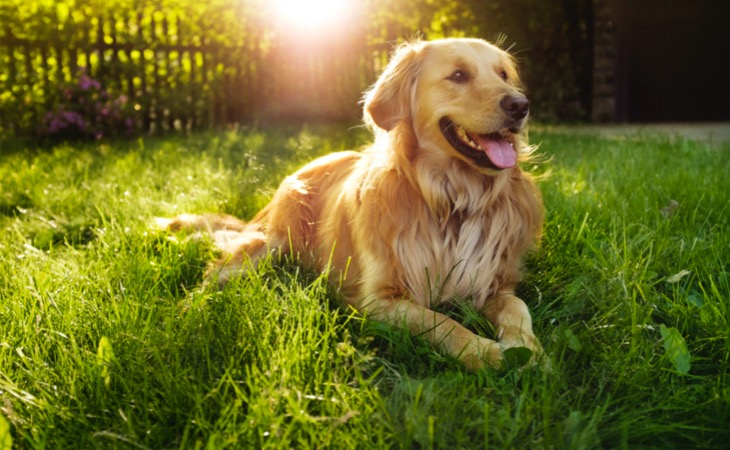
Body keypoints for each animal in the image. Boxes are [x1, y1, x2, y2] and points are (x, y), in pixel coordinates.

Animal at [158, 37, 540, 370]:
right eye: (458, 75)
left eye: (503, 75)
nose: (521, 106)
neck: (452, 200)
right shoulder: (379, 299)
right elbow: (443, 322)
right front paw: (486, 353)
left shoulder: (492, 282)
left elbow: (517, 306)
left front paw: (527, 348)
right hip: (267, 244)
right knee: (211, 276)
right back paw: (188, 314)